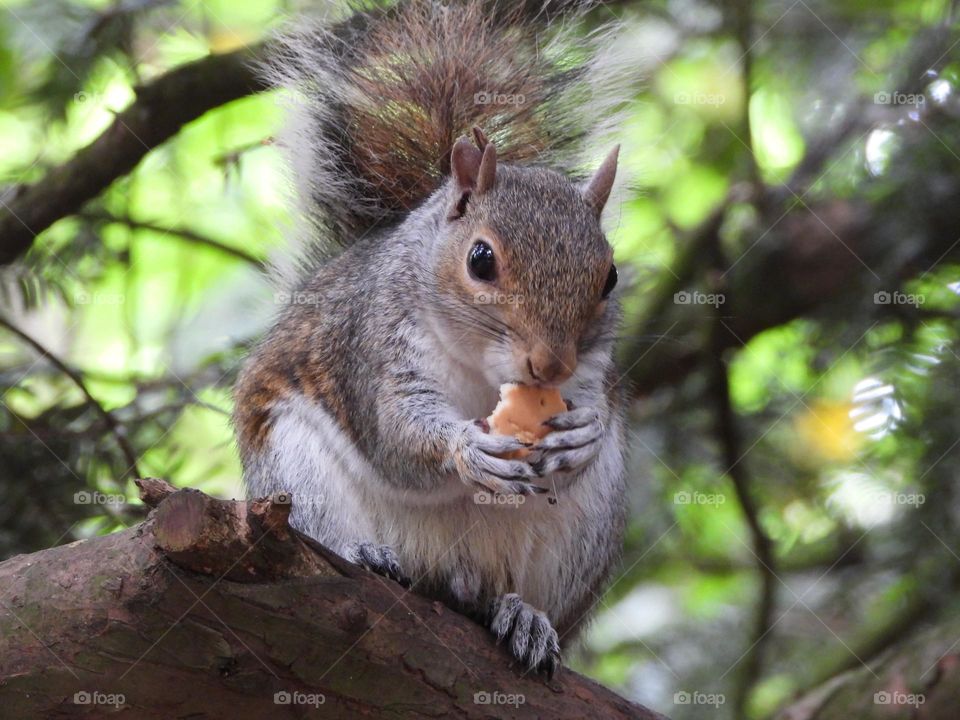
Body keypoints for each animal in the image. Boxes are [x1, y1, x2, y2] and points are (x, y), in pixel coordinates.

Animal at [234, 0, 628, 677]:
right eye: (480, 259)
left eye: (610, 276)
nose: (550, 367)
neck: (482, 370)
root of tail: (447, 579)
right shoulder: (371, 347)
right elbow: (396, 433)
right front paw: (466, 449)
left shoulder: (591, 369)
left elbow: (593, 414)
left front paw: (584, 430)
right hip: (294, 470)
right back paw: (364, 554)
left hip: (585, 534)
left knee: (510, 595)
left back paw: (523, 614)